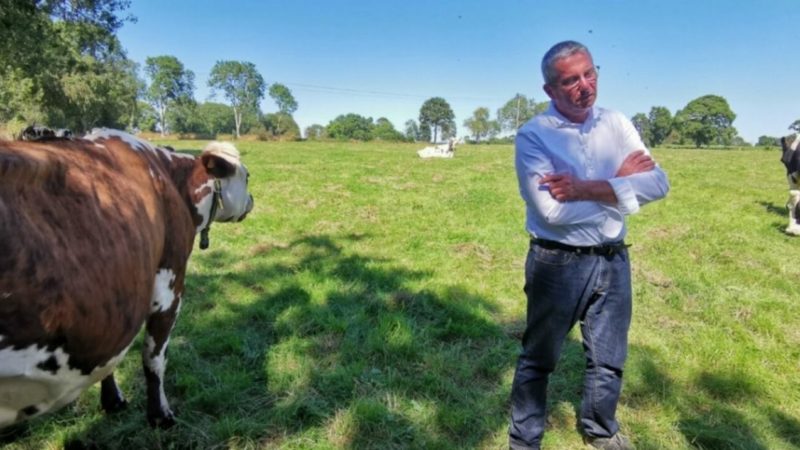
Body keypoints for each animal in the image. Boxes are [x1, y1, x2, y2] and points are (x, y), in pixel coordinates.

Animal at [0, 129, 253, 428]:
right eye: (247, 177)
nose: (252, 200)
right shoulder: (169, 286)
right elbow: (154, 358)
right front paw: (160, 415)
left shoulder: (113, 310)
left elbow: (110, 361)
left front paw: (113, 401)